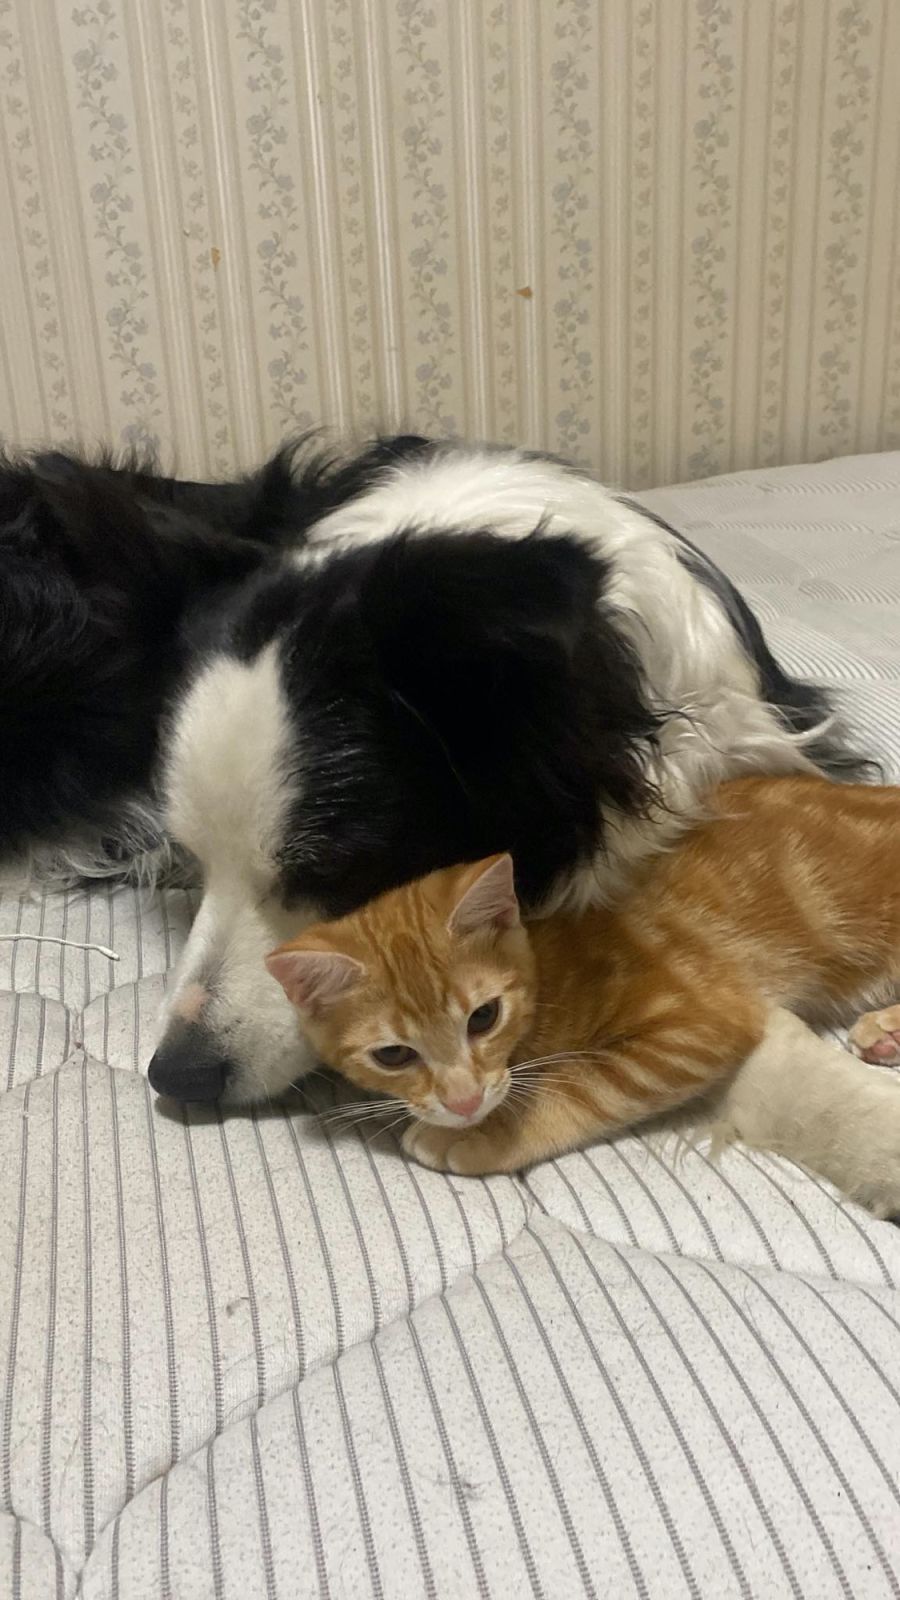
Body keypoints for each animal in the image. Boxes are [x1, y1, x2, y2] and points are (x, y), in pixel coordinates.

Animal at [266, 774, 900, 1215]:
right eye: (394, 1055)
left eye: (484, 1017)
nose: (465, 1104)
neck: (553, 964)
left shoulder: (701, 1019)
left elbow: (584, 1083)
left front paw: (484, 1134)